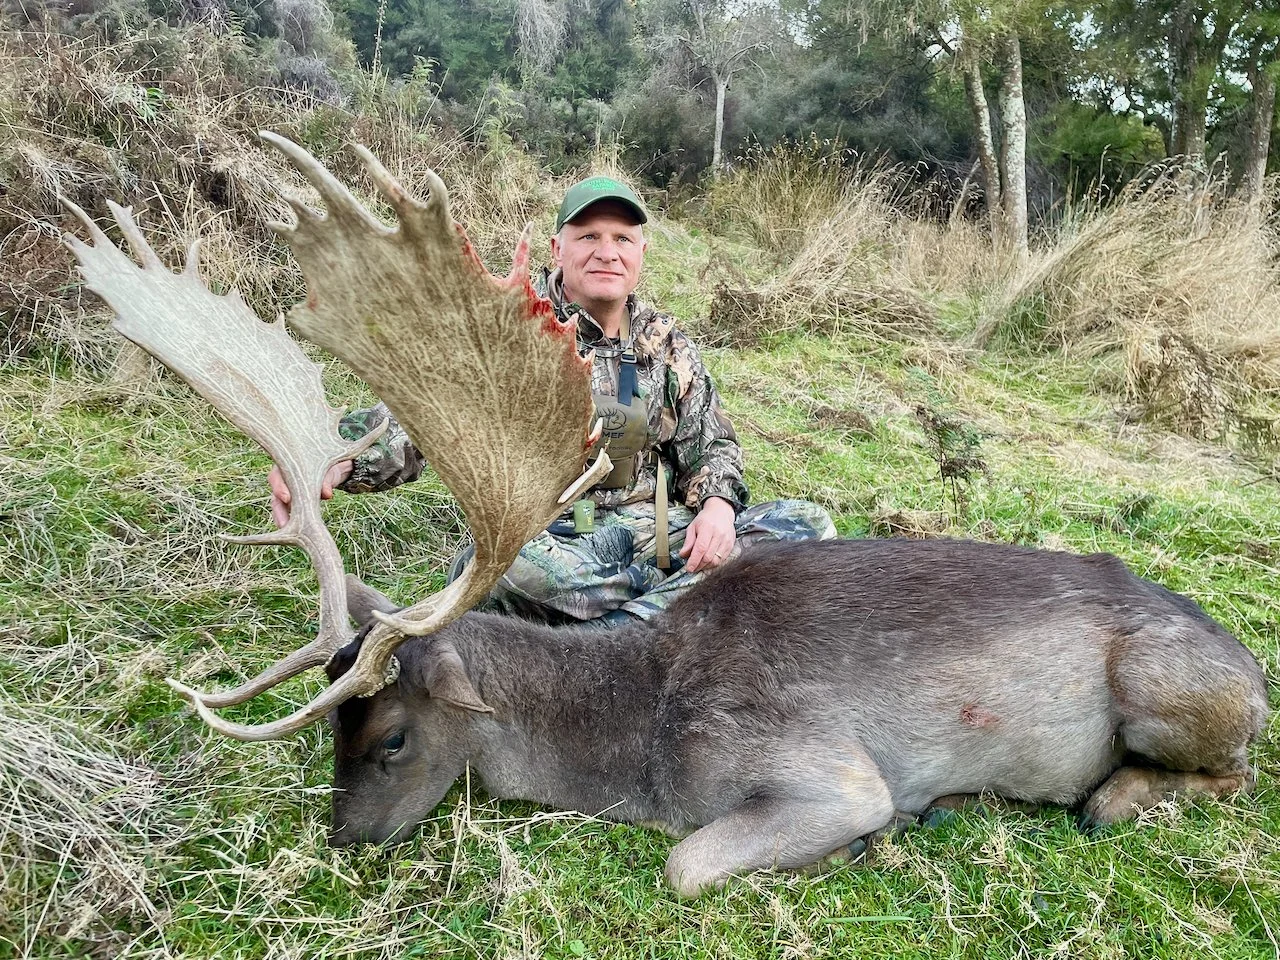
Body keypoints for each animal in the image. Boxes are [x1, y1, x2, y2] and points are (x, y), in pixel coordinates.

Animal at [62, 133, 1269, 897]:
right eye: (332, 733)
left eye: (393, 733)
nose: (342, 844)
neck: (638, 738)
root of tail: (1252, 668)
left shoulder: (828, 770)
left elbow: (689, 864)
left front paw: (880, 839)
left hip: (1166, 693)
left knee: (1229, 773)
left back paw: (1109, 798)